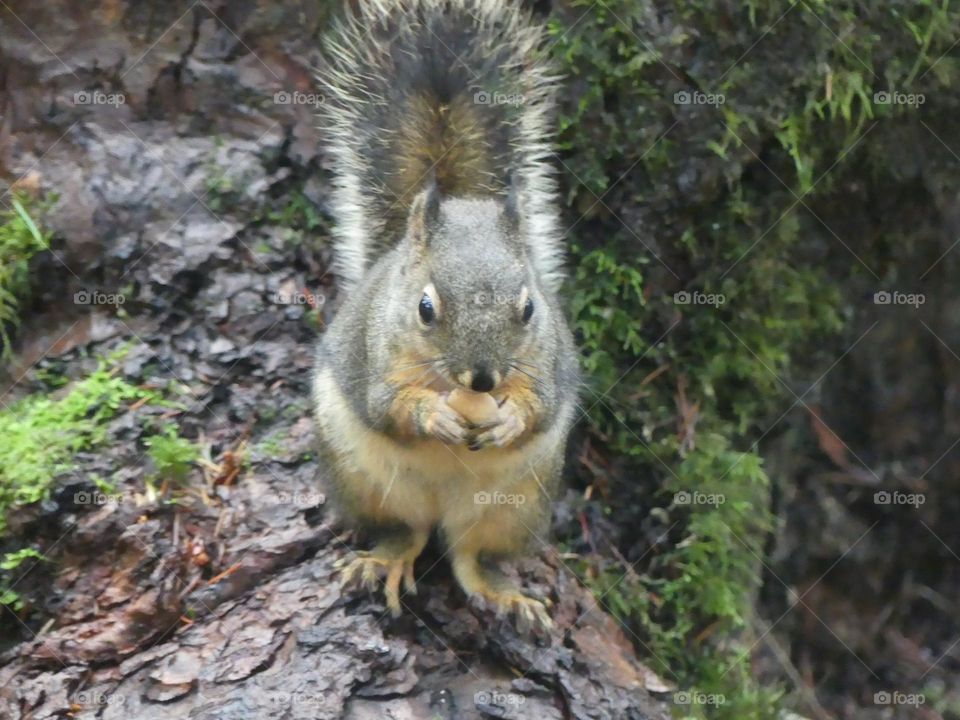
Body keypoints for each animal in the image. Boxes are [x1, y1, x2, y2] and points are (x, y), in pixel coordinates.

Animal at [312, 0, 578, 631]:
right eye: (425, 308)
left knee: (470, 556)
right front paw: (434, 415)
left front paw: (507, 418)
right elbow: (390, 408)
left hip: (518, 505)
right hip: (364, 481)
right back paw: (384, 559)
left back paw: (502, 592)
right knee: (405, 533)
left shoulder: (549, 363)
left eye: (529, 307)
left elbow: (539, 406)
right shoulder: (376, 357)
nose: (482, 380)